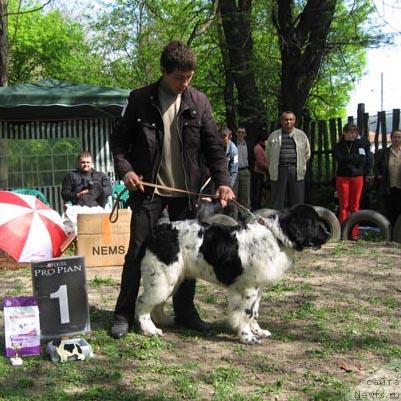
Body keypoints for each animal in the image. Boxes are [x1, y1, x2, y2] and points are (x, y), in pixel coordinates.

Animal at [134, 203, 328, 344]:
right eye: (314, 223)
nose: (328, 233)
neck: (276, 237)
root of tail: (157, 232)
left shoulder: (257, 288)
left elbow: (254, 312)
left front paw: (258, 331)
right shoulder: (248, 288)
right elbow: (246, 313)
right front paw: (247, 337)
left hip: (172, 279)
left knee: (157, 304)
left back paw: (163, 321)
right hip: (162, 278)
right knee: (143, 302)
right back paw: (150, 330)